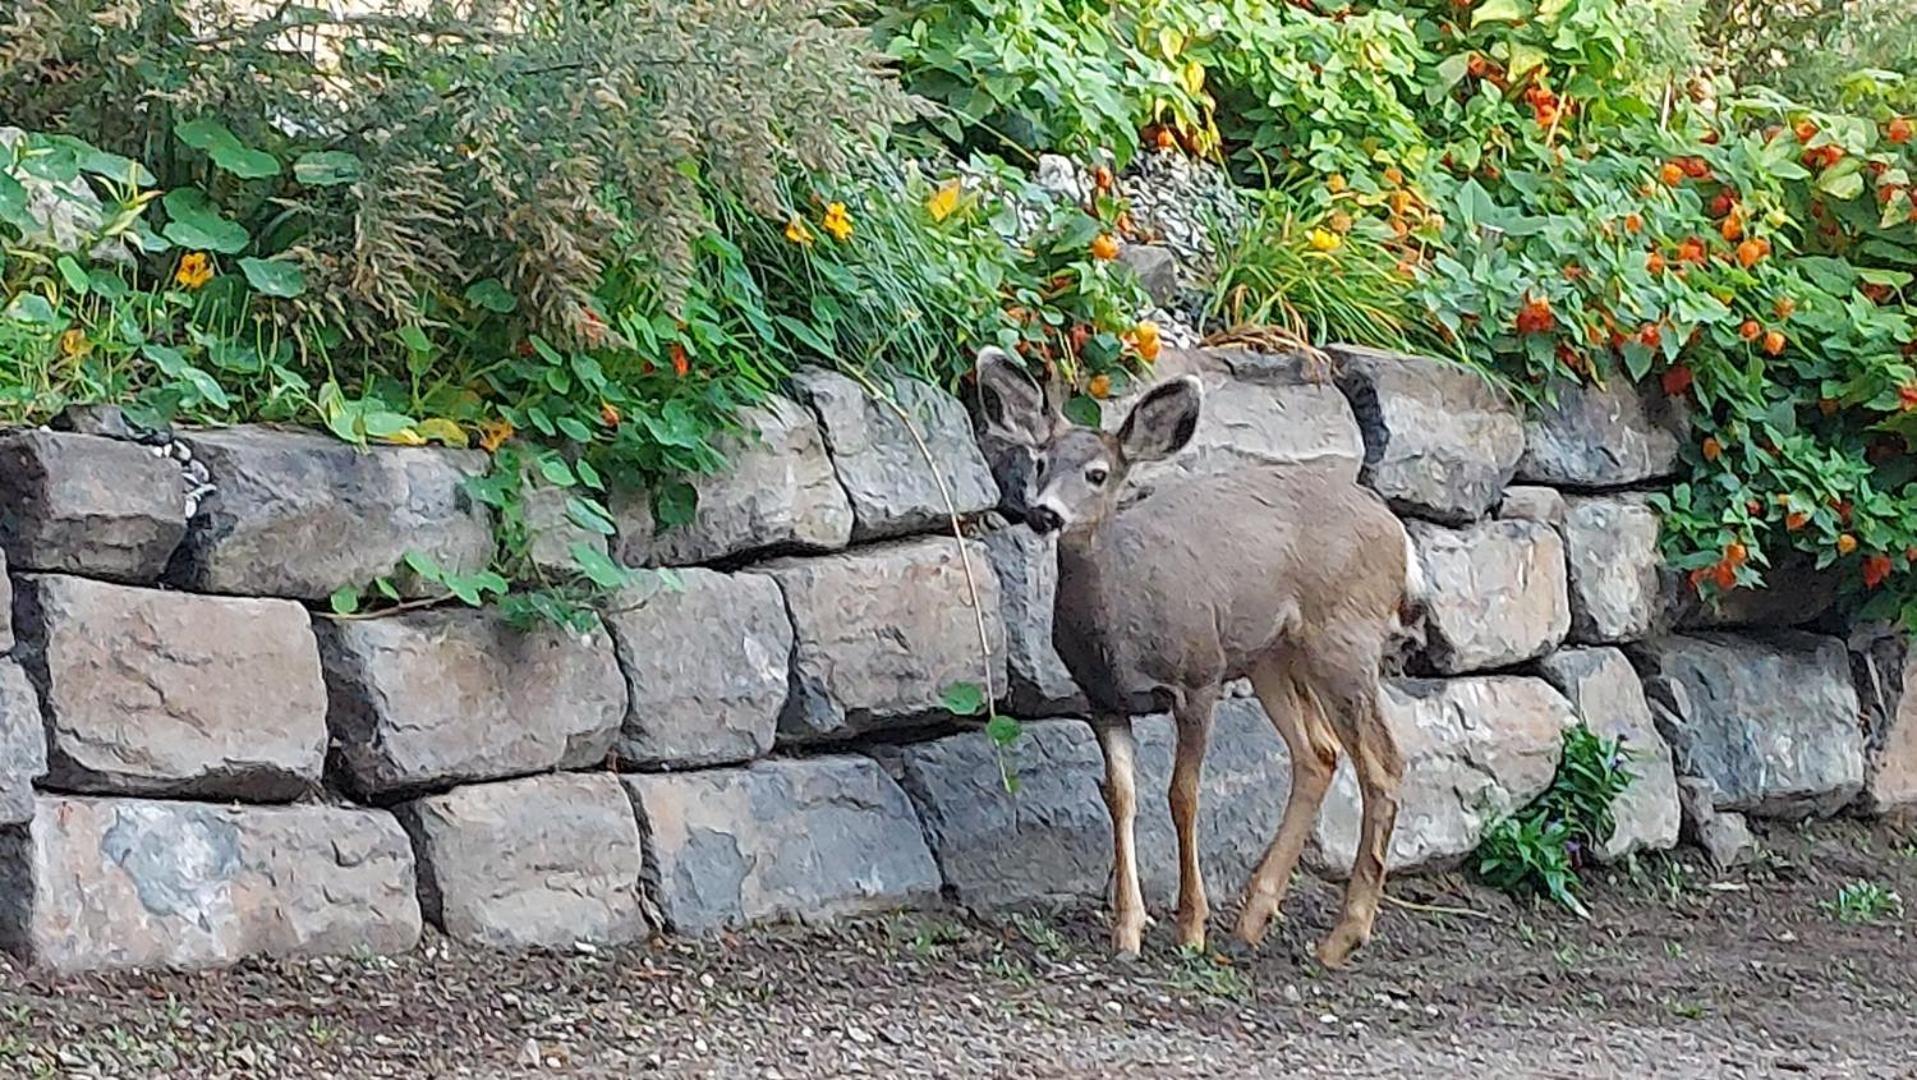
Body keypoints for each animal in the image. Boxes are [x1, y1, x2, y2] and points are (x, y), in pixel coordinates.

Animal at [973, 349, 1426, 970]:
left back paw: (1341, 936)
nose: (1044, 515)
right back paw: (1254, 920)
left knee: (1382, 763)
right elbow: (1121, 796)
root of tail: (1399, 534)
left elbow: (1182, 794)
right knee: (1318, 753)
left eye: (1097, 474)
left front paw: (1190, 926)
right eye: (1040, 462)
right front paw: (1127, 930)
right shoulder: (1101, 697)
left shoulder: (1198, 677)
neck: (1120, 632)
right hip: (1271, 656)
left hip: (1343, 639)